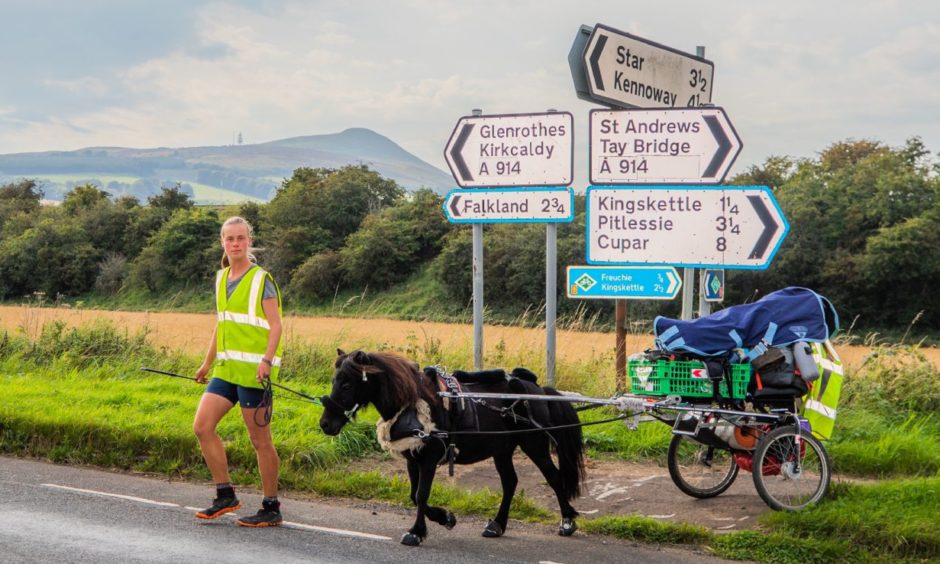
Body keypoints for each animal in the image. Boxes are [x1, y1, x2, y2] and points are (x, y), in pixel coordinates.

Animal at [320, 348, 584, 548]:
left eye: (347, 385)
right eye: (334, 381)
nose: (325, 424)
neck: (414, 402)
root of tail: (539, 390)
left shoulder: (429, 458)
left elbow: (421, 494)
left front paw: (416, 532)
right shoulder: (412, 459)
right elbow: (413, 495)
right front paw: (445, 517)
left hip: (534, 444)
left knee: (553, 477)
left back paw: (567, 521)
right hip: (502, 450)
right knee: (510, 482)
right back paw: (497, 525)